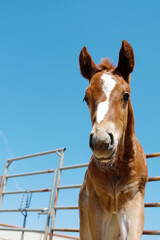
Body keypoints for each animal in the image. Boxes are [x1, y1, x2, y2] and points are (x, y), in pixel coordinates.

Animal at [78, 40, 148, 239]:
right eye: (86, 98)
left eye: (126, 95)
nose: (101, 142)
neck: (117, 168)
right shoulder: (97, 209)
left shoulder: (133, 202)